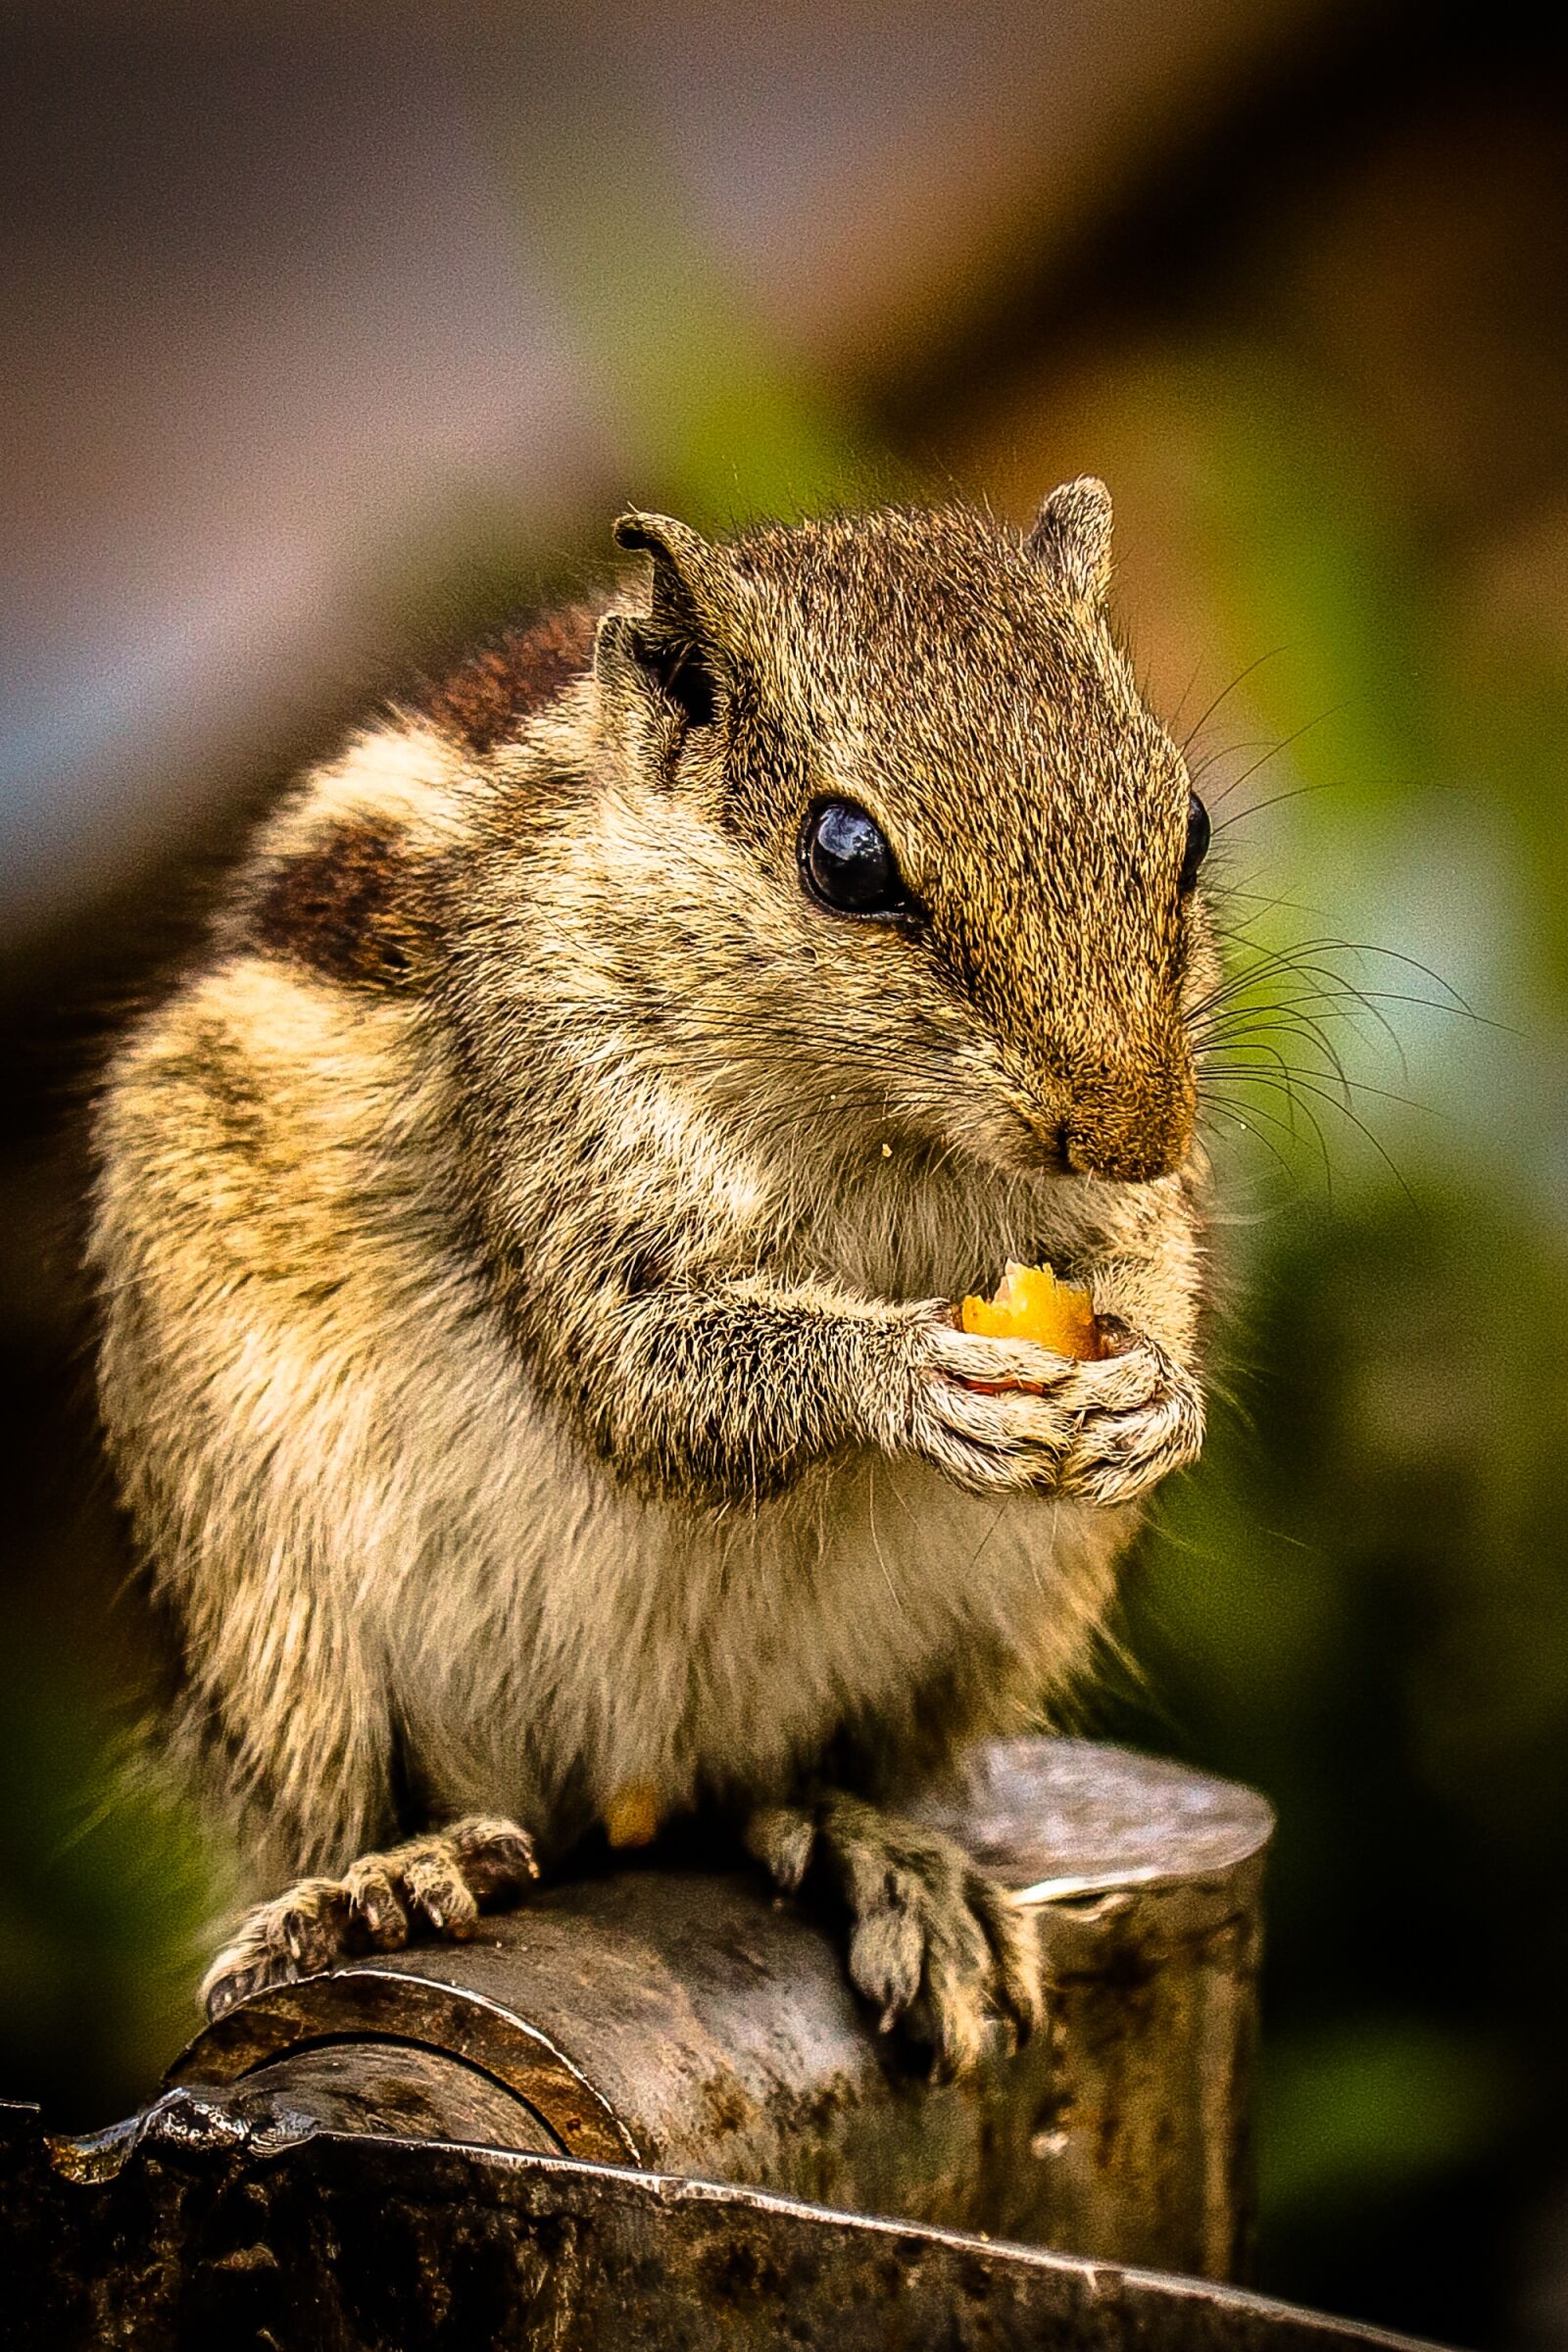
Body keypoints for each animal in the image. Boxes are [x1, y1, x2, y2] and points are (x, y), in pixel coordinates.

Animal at [88, 480, 1212, 2073]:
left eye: (1188, 824)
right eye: (846, 857)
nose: (1134, 1132)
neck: (880, 1138)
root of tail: (624, 1786)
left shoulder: (1105, 1222)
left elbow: (1139, 1260)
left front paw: (1154, 1397)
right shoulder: (547, 1099)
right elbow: (645, 1373)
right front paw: (907, 1374)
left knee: (778, 1790)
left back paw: (874, 1850)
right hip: (274, 1604)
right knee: (338, 1796)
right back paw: (381, 1879)